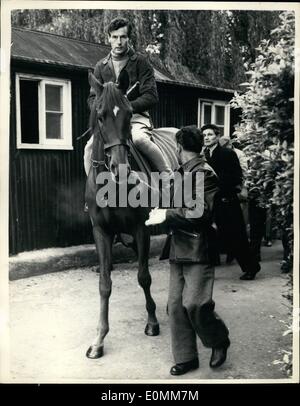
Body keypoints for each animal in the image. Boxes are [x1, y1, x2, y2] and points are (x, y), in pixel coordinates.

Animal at [84, 70, 178, 358]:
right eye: (100, 115)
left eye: (128, 114)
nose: (120, 168)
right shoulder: (101, 232)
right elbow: (104, 284)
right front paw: (99, 339)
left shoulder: (141, 228)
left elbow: (144, 277)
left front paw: (152, 322)